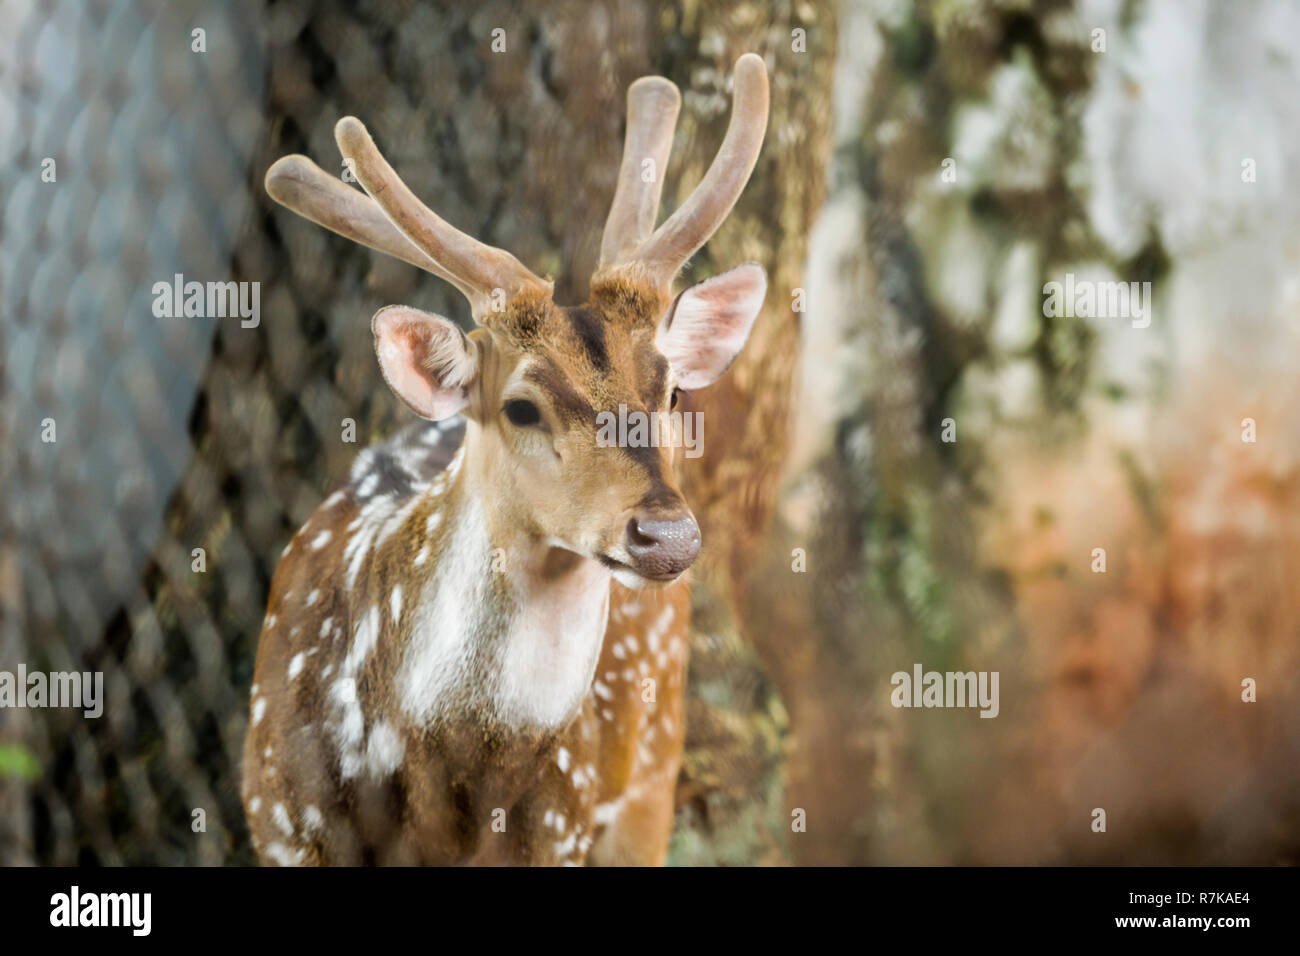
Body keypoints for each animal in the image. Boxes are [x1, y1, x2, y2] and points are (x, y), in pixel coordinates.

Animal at [241, 53, 770, 865]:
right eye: (520, 406)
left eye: (675, 390)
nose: (667, 535)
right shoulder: (278, 822)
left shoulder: (562, 829)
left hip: (653, 763)